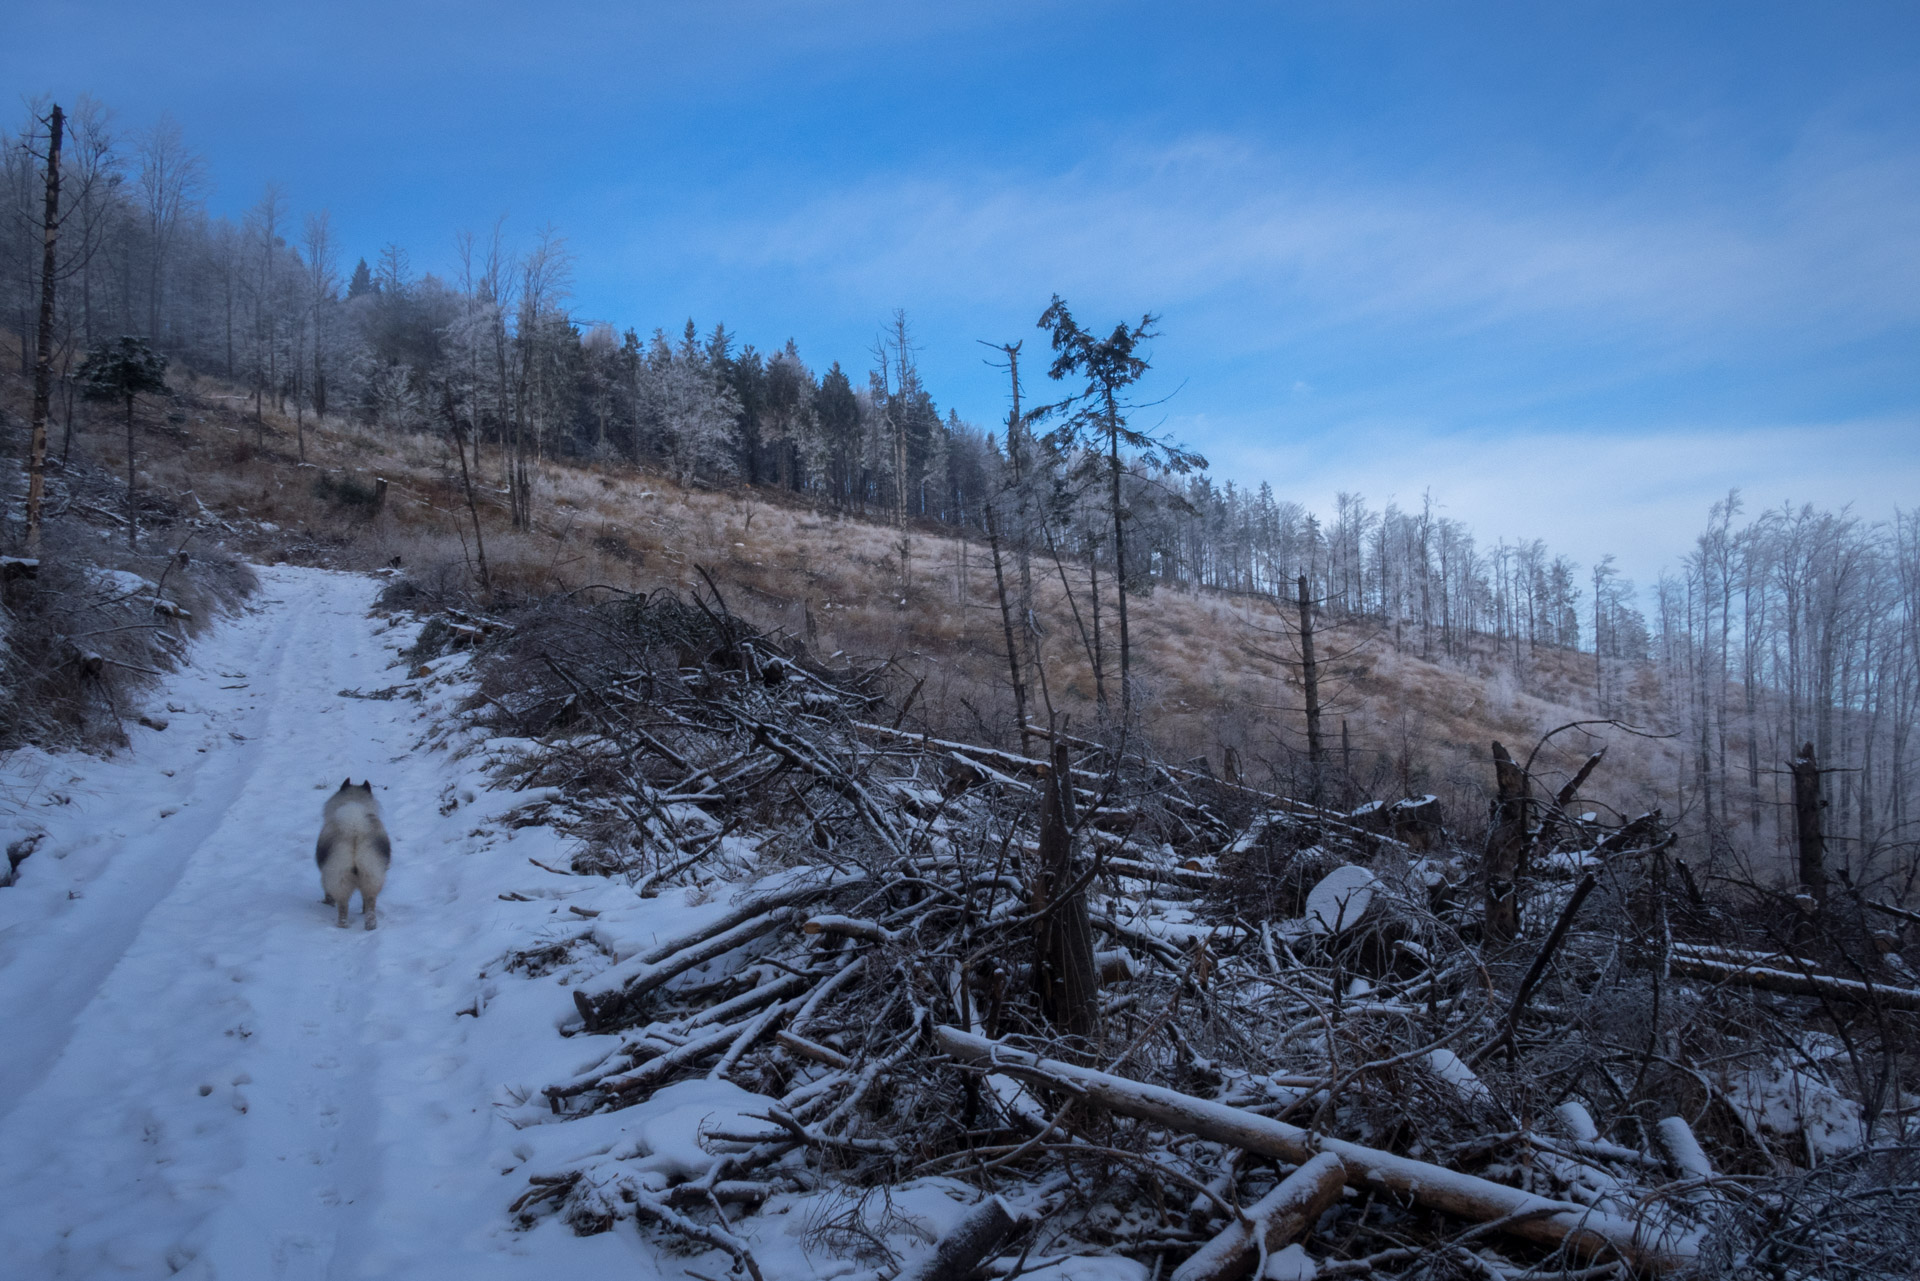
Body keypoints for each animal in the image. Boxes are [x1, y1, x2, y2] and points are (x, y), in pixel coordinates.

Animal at [314, 783, 389, 933]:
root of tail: (355, 828)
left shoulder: (325, 876)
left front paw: (327, 903)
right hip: (371, 875)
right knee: (369, 903)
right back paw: (370, 925)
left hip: (339, 877)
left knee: (343, 907)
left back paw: (342, 926)